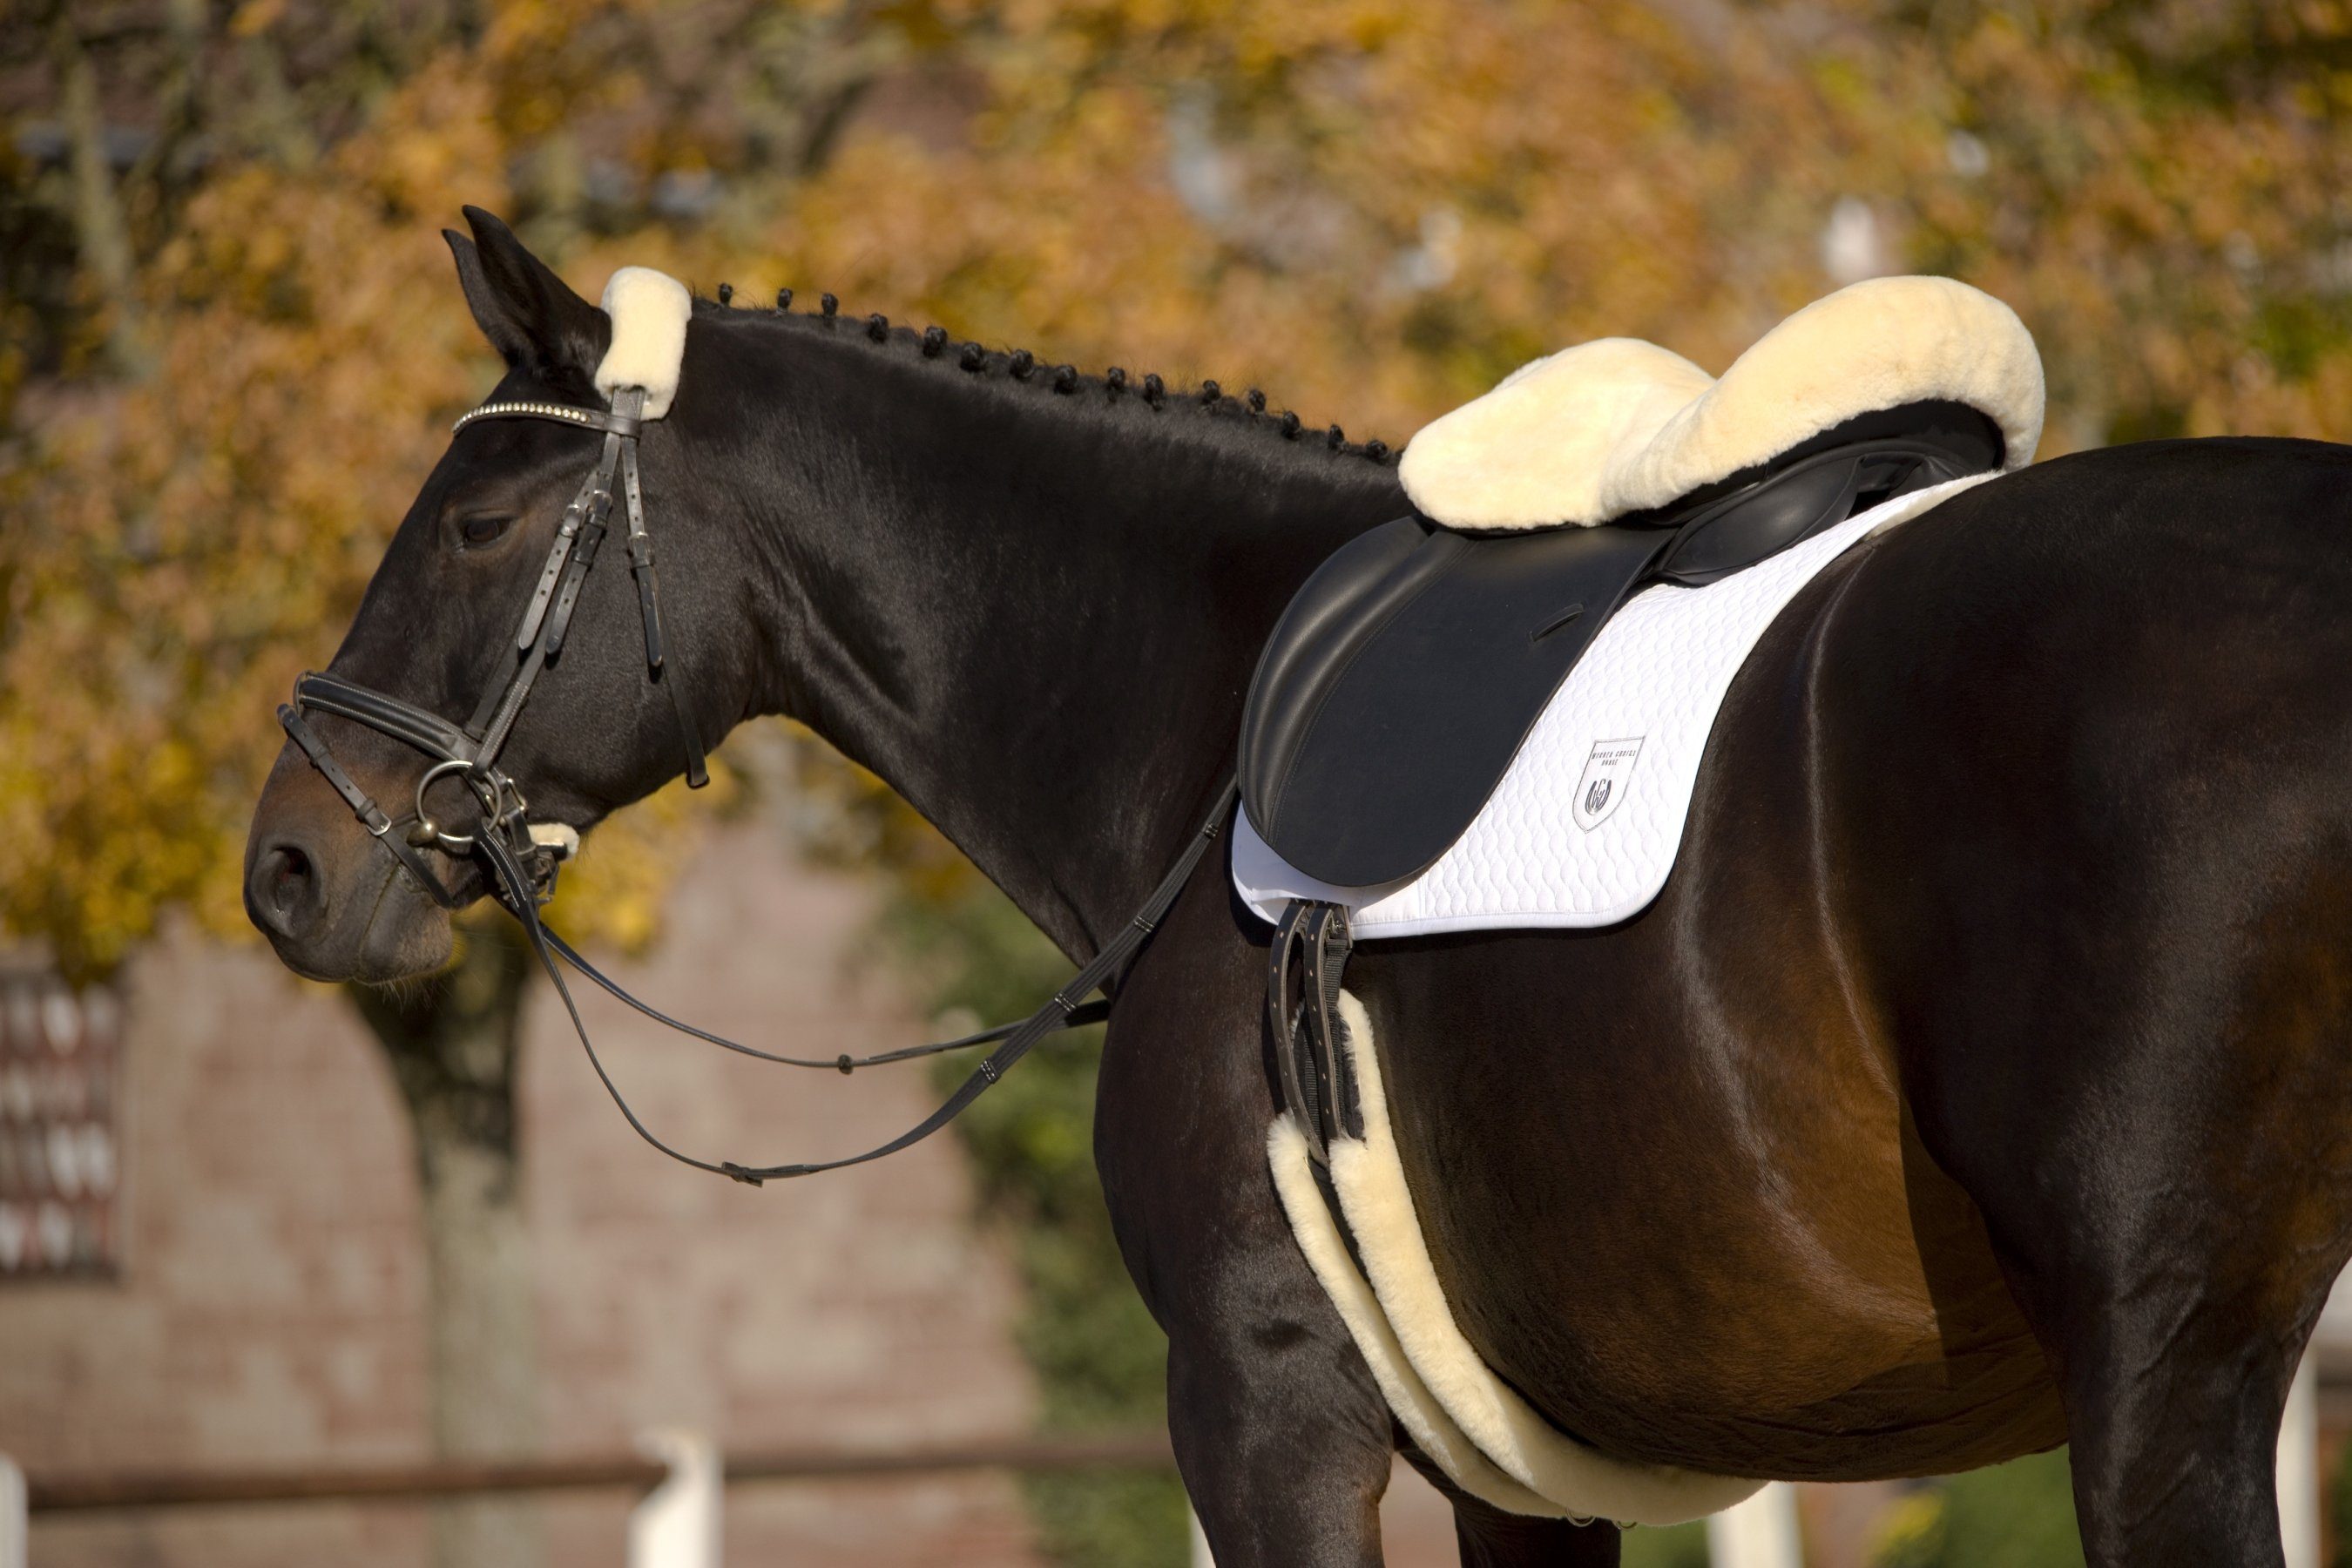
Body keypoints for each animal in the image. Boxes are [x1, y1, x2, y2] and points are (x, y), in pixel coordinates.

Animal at [245, 207, 2352, 1566]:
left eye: (479, 522)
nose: (289, 864)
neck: (1210, 717)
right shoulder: (1520, 1474)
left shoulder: (1264, 1410)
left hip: (2162, 1382)